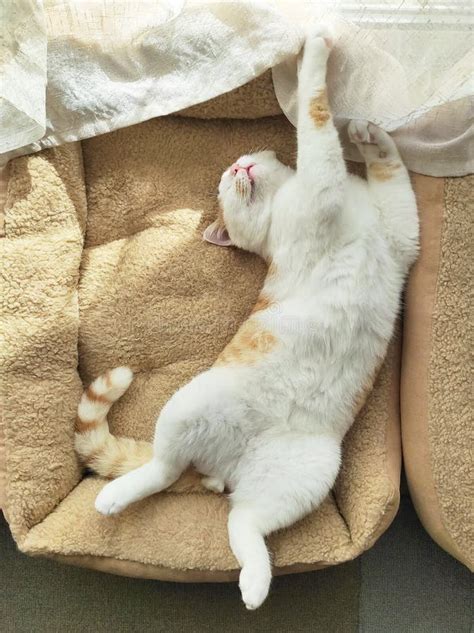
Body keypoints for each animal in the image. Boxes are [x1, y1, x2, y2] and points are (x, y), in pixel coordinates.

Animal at [75, 27, 418, 608]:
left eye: (232, 169)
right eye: (223, 184)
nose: (239, 168)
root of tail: (225, 467)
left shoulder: (400, 236)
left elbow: (390, 173)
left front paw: (371, 134)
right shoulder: (324, 191)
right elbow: (315, 119)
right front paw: (313, 55)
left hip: (301, 475)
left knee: (243, 522)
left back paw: (254, 584)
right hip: (189, 406)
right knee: (162, 470)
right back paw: (115, 497)